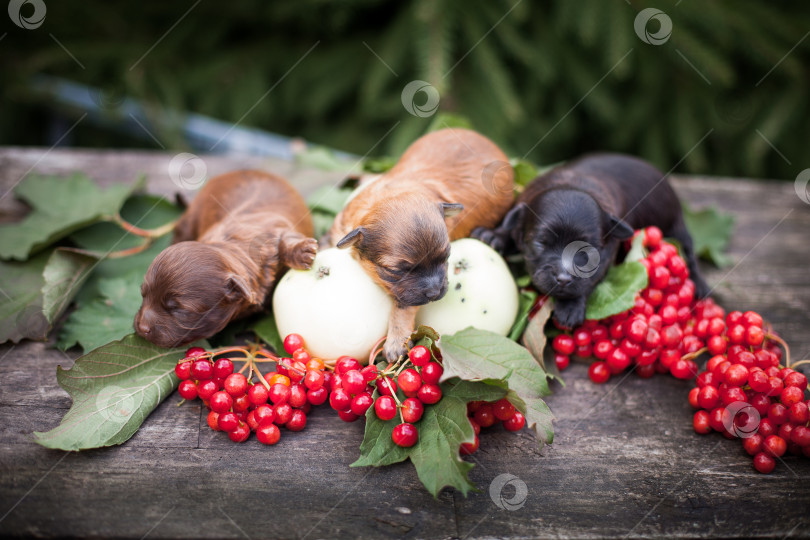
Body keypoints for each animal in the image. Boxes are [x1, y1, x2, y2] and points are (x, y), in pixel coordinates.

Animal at [136, 171, 316, 348]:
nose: (142, 328)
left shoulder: (275, 230)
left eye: (180, 310)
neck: (232, 246)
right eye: (143, 294)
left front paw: (303, 250)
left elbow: (287, 237)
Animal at [324, 129, 508, 360]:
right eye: (396, 271)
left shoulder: (409, 296)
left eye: (447, 258)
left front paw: (396, 339)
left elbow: (403, 306)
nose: (435, 293)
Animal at [474, 154, 708, 326]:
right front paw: (494, 235)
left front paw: (570, 307)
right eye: (540, 243)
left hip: (676, 226)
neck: (572, 182)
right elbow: (511, 222)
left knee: (688, 252)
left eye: (585, 252)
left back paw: (700, 285)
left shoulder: (607, 256)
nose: (563, 278)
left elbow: (589, 280)